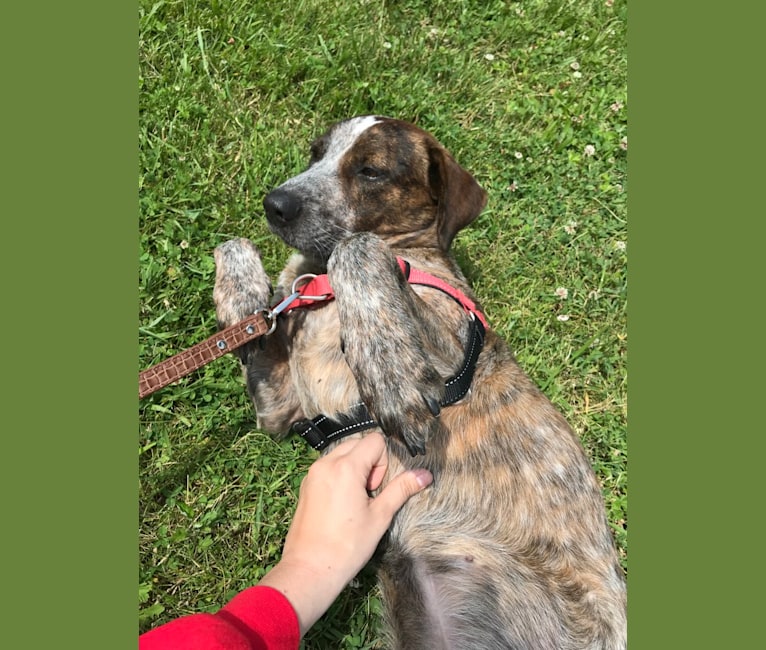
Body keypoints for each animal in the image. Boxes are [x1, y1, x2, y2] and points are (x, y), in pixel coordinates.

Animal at [214, 117, 632, 648]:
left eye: (370, 170)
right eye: (315, 153)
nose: (276, 203)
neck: (315, 281)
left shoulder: (449, 349)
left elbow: (357, 248)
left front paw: (389, 373)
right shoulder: (277, 408)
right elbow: (235, 246)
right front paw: (241, 297)